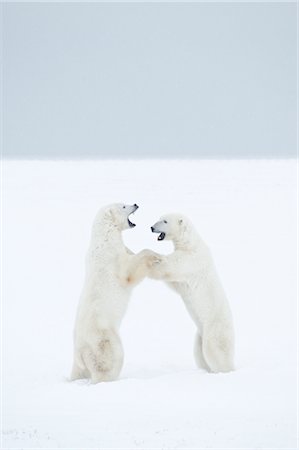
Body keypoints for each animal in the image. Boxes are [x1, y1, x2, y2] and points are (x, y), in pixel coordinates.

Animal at [70, 204, 157, 384]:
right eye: (123, 205)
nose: (136, 204)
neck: (105, 235)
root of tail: (79, 351)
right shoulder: (113, 257)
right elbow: (129, 271)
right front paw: (154, 256)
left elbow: (129, 252)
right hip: (103, 338)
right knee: (112, 357)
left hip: (79, 359)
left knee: (78, 372)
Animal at [151, 214, 236, 372]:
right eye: (159, 218)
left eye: (165, 221)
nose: (152, 227)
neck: (189, 243)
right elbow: (175, 283)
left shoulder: (190, 259)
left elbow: (170, 267)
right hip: (199, 335)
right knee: (199, 353)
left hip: (214, 330)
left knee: (215, 351)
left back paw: (224, 369)